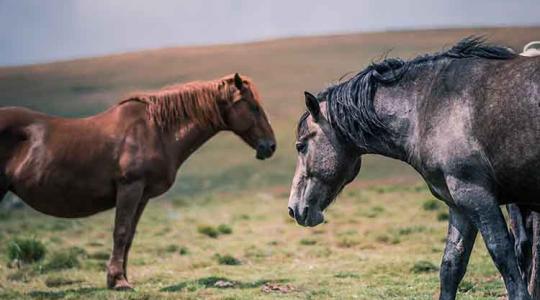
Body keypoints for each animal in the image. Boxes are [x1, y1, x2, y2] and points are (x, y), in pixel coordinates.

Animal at [0, 72, 274, 288]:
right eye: (252, 106)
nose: (270, 146)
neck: (154, 130)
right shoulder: (130, 188)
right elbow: (120, 232)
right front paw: (119, 281)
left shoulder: (142, 195)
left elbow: (130, 235)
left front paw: (119, 277)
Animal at [288, 37, 540, 300]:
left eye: (300, 145)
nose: (294, 209)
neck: (428, 107)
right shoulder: (460, 205)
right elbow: (451, 268)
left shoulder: (477, 196)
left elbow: (504, 258)